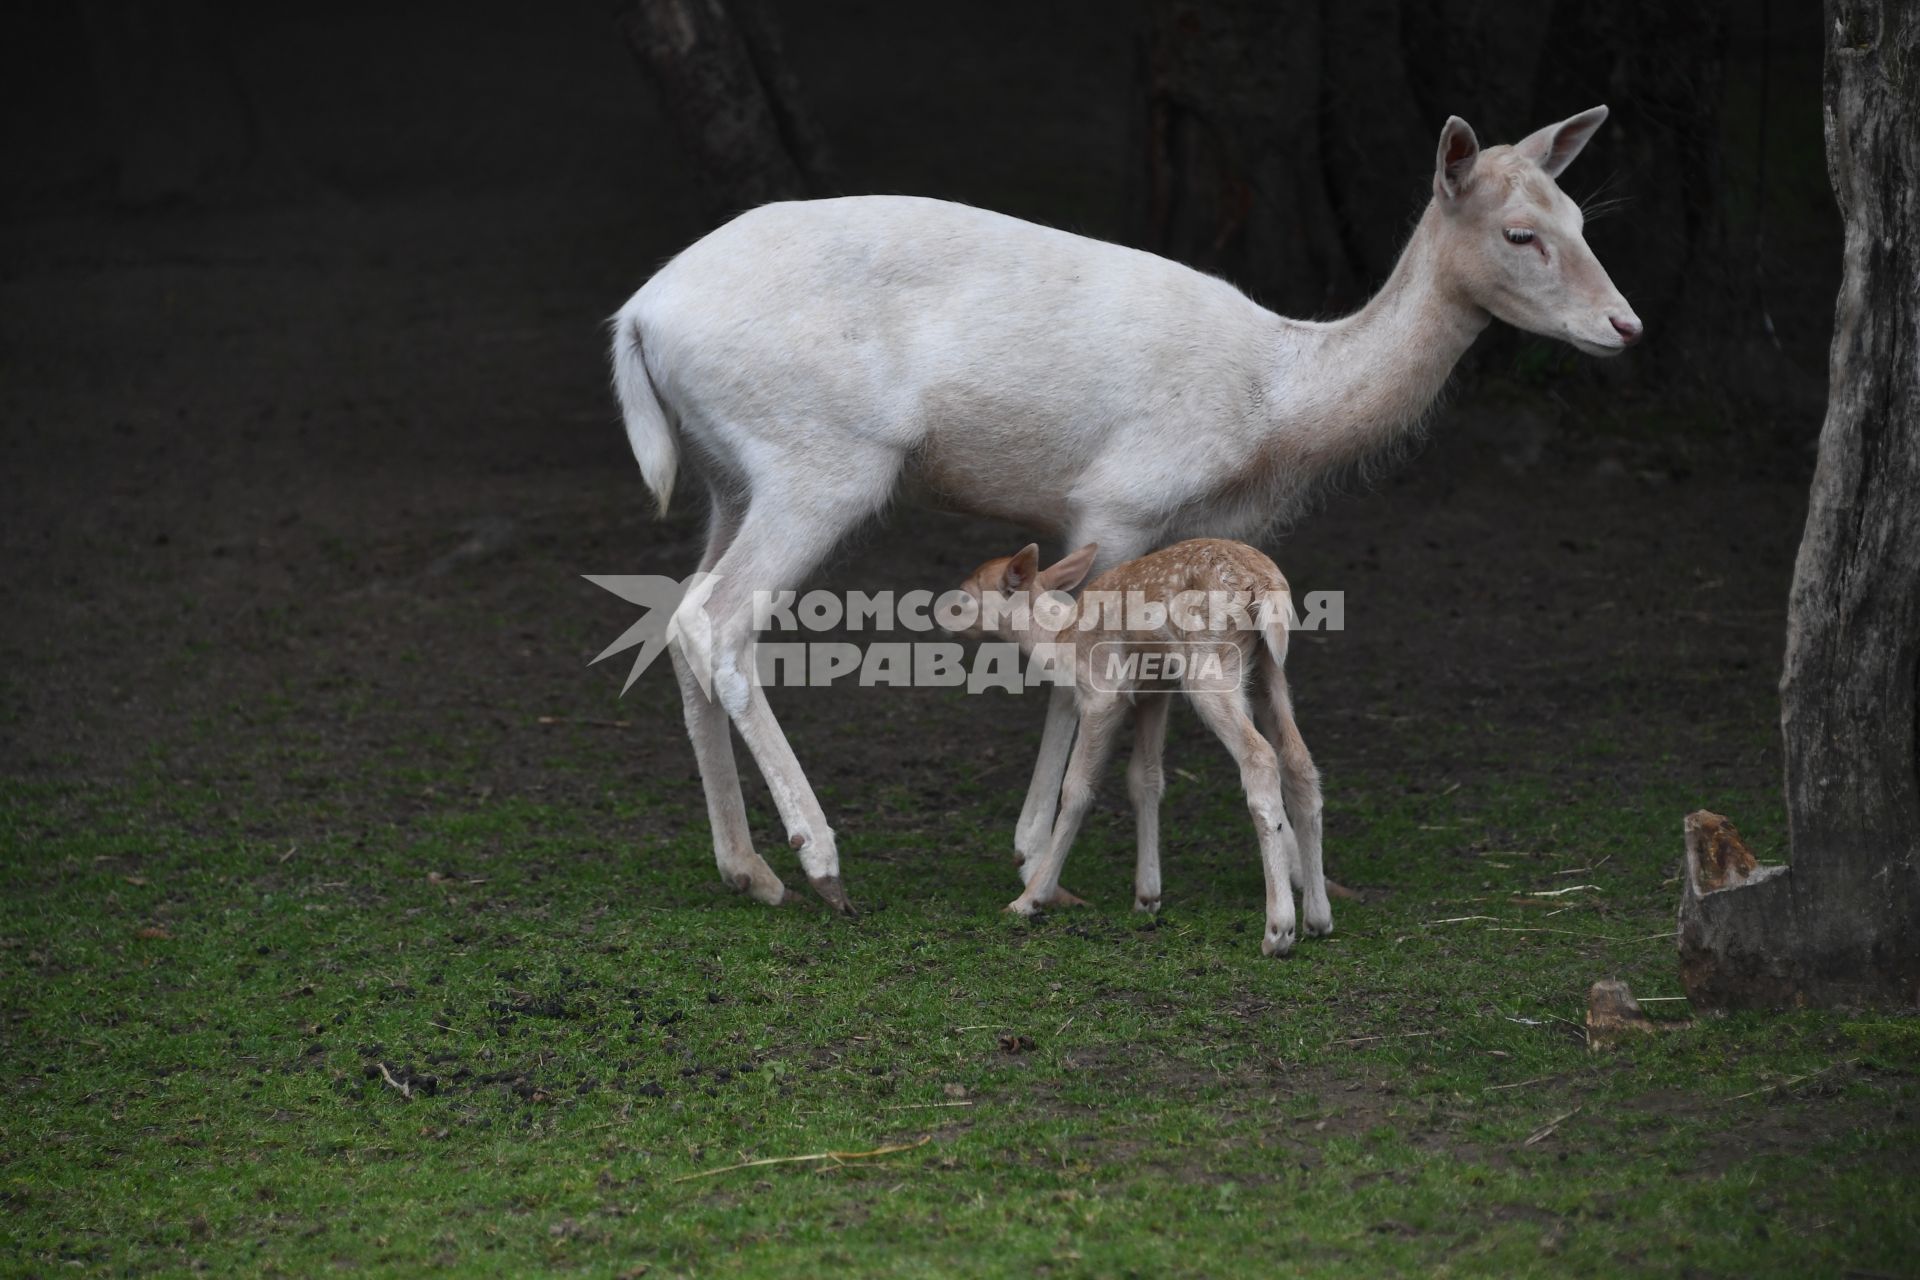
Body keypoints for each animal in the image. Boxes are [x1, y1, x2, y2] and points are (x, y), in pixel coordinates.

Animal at [610, 105, 1635, 917]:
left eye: (1582, 217)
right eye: (1519, 234)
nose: (1625, 325)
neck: (1275, 406)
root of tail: (638, 319)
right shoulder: (1121, 496)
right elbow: (1072, 668)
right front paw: (1034, 860)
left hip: (728, 475)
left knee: (677, 613)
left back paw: (748, 870)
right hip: (822, 462)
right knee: (718, 618)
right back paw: (822, 864)